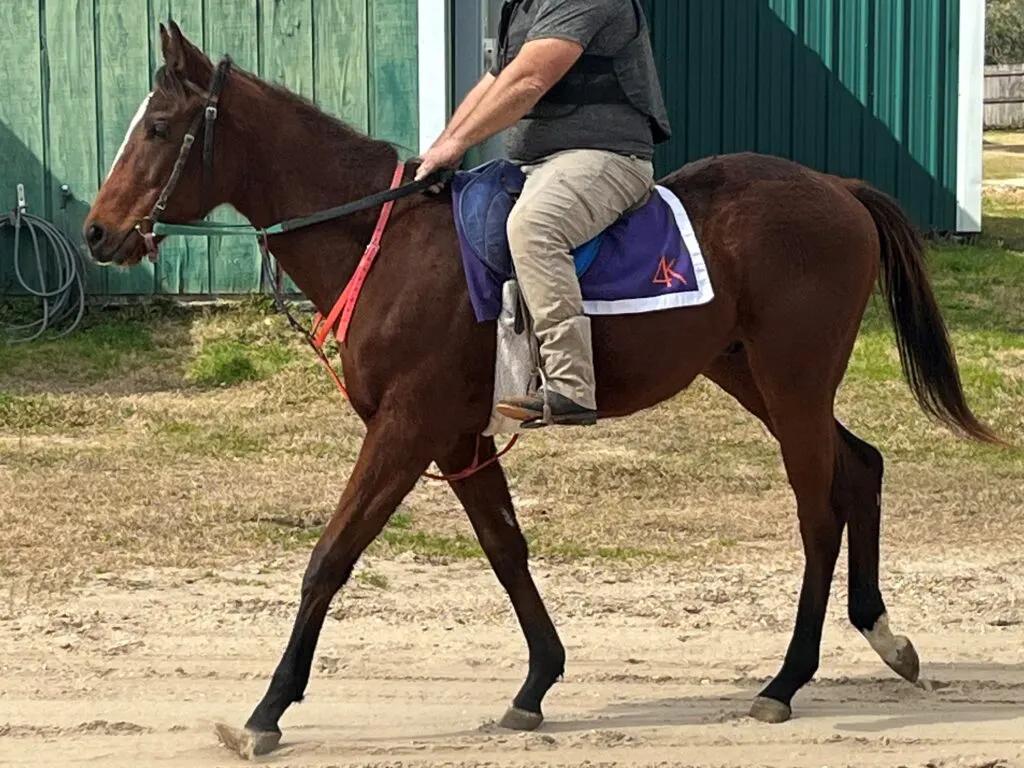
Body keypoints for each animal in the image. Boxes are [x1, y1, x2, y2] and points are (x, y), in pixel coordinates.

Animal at [86, 20, 999, 761]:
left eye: (159, 128)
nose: (98, 232)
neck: (385, 238)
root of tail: (835, 189)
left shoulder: (405, 429)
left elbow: (331, 557)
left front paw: (268, 710)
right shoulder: (457, 435)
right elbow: (505, 548)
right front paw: (536, 684)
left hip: (793, 382)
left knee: (817, 512)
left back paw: (786, 680)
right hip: (755, 378)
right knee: (861, 467)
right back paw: (884, 635)